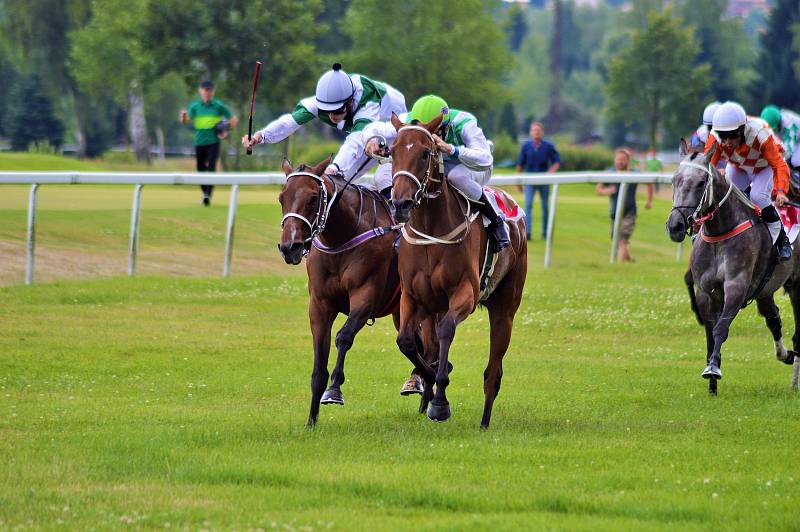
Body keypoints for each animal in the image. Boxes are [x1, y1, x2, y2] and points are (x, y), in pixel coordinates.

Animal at [276, 156, 438, 426]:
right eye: (282, 197)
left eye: (312, 197)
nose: (290, 247)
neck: (342, 239)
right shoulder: (319, 305)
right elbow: (319, 365)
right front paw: (311, 421)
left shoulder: (365, 296)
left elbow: (343, 336)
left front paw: (334, 390)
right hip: (400, 311)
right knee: (418, 346)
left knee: (432, 347)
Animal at [390, 113, 528, 428]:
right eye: (392, 151)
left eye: (425, 153)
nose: (401, 202)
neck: (432, 231)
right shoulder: (413, 297)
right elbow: (406, 342)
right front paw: (429, 382)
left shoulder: (465, 292)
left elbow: (447, 331)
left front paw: (440, 401)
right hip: (433, 307)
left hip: (505, 307)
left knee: (493, 372)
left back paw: (485, 421)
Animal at [664, 140, 800, 394]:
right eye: (674, 179)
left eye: (701, 182)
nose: (675, 225)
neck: (720, 232)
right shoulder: (706, 292)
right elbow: (710, 332)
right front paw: (712, 387)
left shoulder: (736, 287)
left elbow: (721, 328)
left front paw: (712, 370)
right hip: (765, 290)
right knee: (774, 319)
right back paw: (786, 355)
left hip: (797, 287)